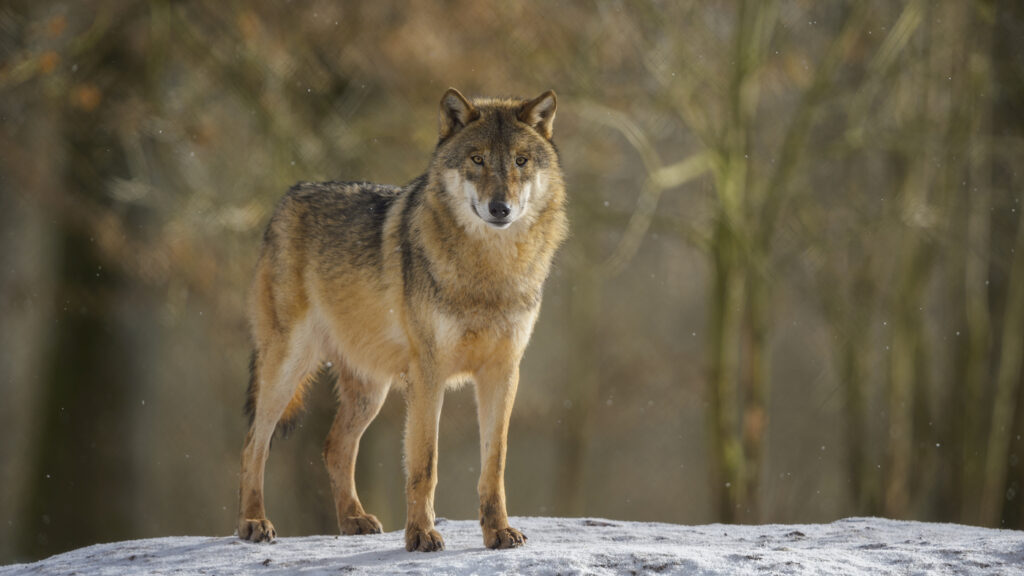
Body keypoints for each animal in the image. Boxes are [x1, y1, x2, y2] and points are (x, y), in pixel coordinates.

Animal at [237, 88, 567, 552]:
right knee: (254, 443)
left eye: (520, 160)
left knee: (334, 447)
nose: (500, 208)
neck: (488, 272)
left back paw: (353, 520)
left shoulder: (503, 372)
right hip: (287, 367)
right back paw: (253, 523)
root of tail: (289, 195)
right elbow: (424, 464)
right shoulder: (428, 374)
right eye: (478, 159)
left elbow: (494, 464)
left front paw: (498, 532)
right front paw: (422, 534)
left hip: (370, 391)